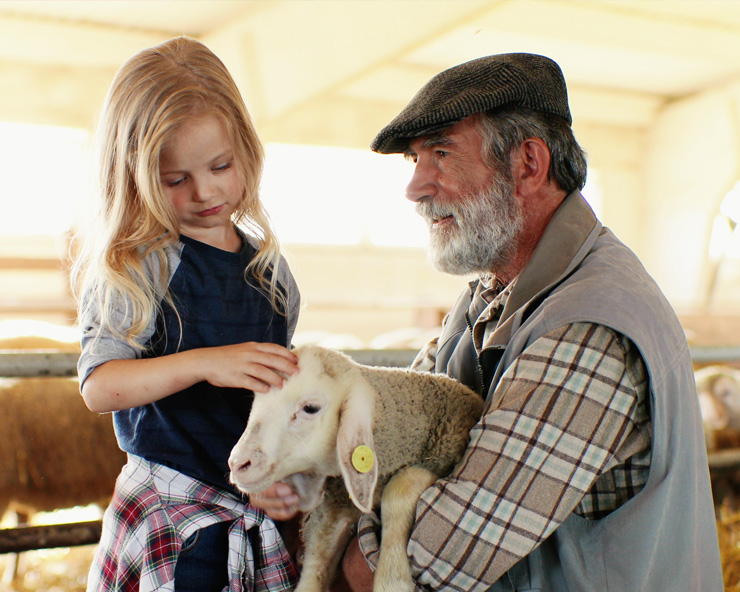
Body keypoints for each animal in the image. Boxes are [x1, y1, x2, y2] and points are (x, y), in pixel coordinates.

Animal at [231, 342, 486, 592]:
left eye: (311, 408)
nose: (237, 464)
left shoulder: (440, 462)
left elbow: (402, 485)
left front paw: (392, 581)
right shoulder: (335, 507)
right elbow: (316, 560)